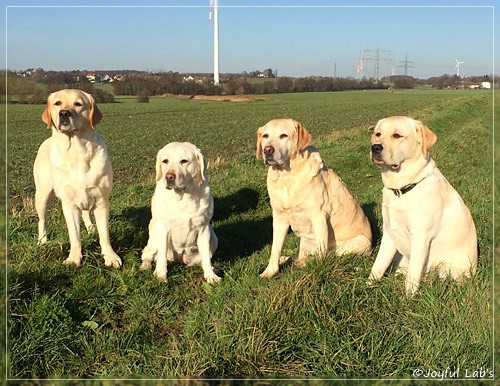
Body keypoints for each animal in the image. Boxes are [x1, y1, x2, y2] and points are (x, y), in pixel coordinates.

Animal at [140, 142, 220, 284]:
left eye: (184, 161)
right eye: (165, 161)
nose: (169, 176)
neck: (183, 197)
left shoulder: (204, 228)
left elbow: (206, 256)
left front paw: (210, 276)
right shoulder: (163, 228)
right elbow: (161, 256)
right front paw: (160, 275)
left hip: (214, 238)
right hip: (154, 235)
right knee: (147, 253)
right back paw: (145, 265)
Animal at [370, 114, 478, 296]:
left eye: (397, 135)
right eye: (378, 134)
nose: (375, 148)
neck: (402, 188)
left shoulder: (420, 237)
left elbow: (412, 278)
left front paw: (407, 301)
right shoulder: (389, 233)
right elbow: (377, 266)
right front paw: (365, 288)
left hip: (445, 269)